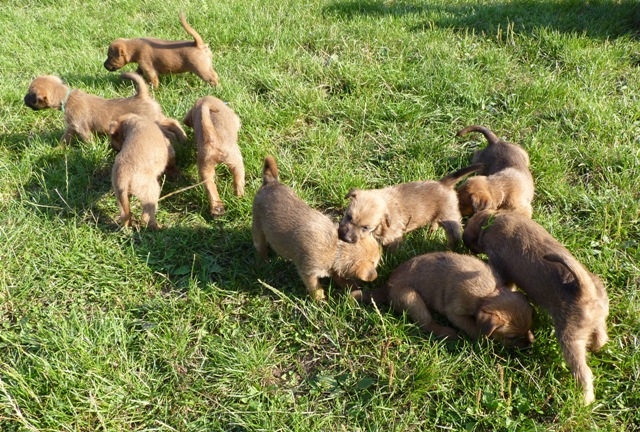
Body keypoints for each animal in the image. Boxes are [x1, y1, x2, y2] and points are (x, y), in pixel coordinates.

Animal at [24, 72, 165, 145]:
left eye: (30, 94)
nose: (23, 99)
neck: (67, 97)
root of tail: (142, 95)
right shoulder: (72, 126)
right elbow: (64, 138)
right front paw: (58, 149)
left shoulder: (81, 128)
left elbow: (88, 141)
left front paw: (91, 149)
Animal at [252, 156, 381, 301]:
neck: (336, 248)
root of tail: (270, 182)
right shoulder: (308, 272)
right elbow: (315, 287)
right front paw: (320, 299)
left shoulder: (333, 268)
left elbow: (340, 277)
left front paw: (351, 287)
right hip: (257, 228)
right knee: (260, 246)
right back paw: (265, 261)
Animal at [338, 164, 483, 251]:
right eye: (348, 217)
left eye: (365, 228)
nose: (346, 238)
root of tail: (443, 183)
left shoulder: (393, 238)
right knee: (434, 223)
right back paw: (431, 233)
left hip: (449, 217)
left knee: (453, 234)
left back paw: (450, 248)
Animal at [352, 252, 534, 347]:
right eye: (511, 337)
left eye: (528, 328)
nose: (528, 345)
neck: (490, 293)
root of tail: (387, 286)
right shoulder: (456, 313)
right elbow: (473, 326)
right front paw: (482, 340)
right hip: (411, 298)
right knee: (427, 324)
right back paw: (447, 333)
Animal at [463, 210, 609, 404]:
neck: (492, 221)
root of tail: (586, 290)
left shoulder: (500, 266)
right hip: (598, 321)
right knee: (601, 337)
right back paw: (594, 348)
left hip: (570, 340)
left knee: (584, 372)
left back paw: (584, 401)